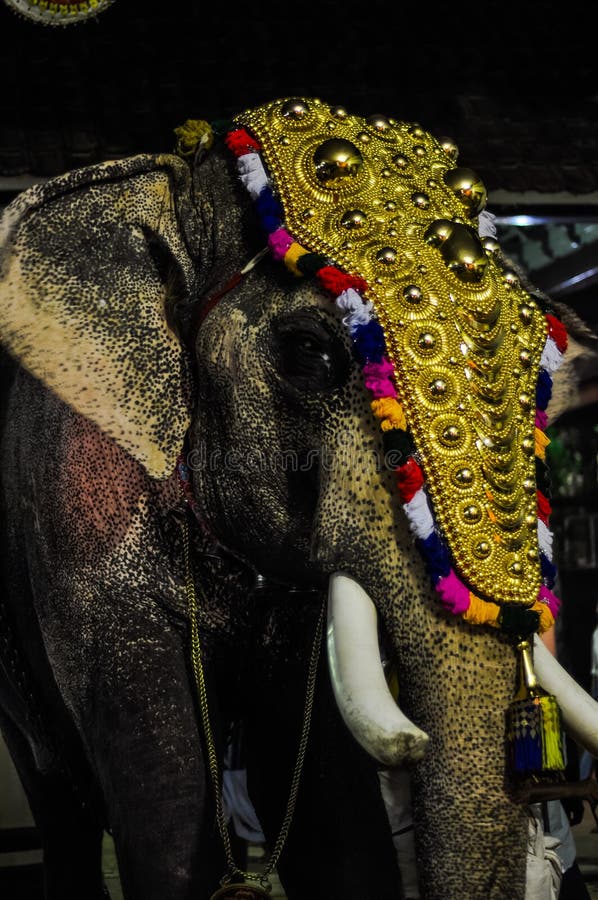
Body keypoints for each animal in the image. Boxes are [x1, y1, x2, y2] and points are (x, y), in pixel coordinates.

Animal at [1, 95, 598, 896]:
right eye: (308, 352)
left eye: (542, 375)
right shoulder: (81, 512)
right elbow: (164, 807)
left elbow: (333, 809)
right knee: (56, 790)